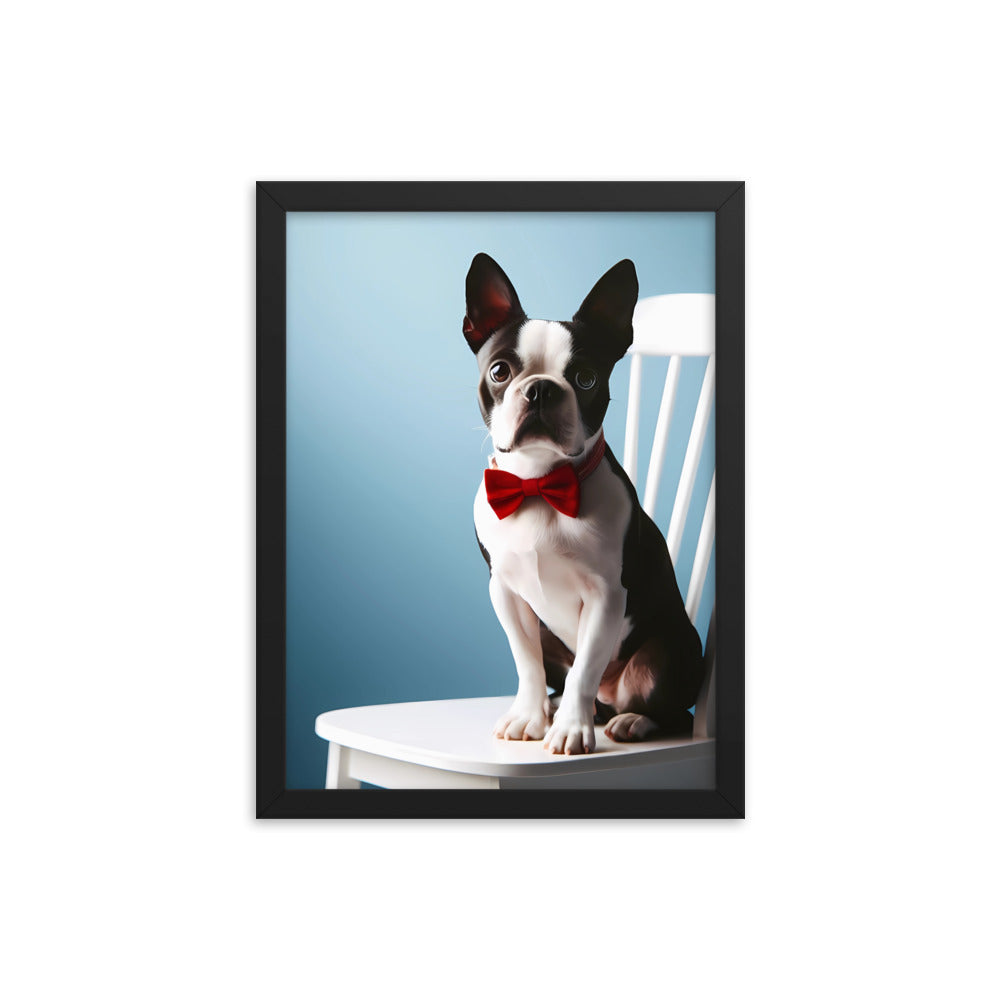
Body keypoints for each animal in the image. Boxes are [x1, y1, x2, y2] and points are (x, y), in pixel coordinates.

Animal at [466, 254, 708, 752]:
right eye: (499, 372)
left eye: (586, 378)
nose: (540, 388)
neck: (540, 482)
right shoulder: (505, 591)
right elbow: (526, 662)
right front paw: (529, 716)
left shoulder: (606, 596)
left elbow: (586, 669)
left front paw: (571, 732)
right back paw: (556, 708)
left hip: (669, 651)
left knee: (666, 708)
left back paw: (630, 721)